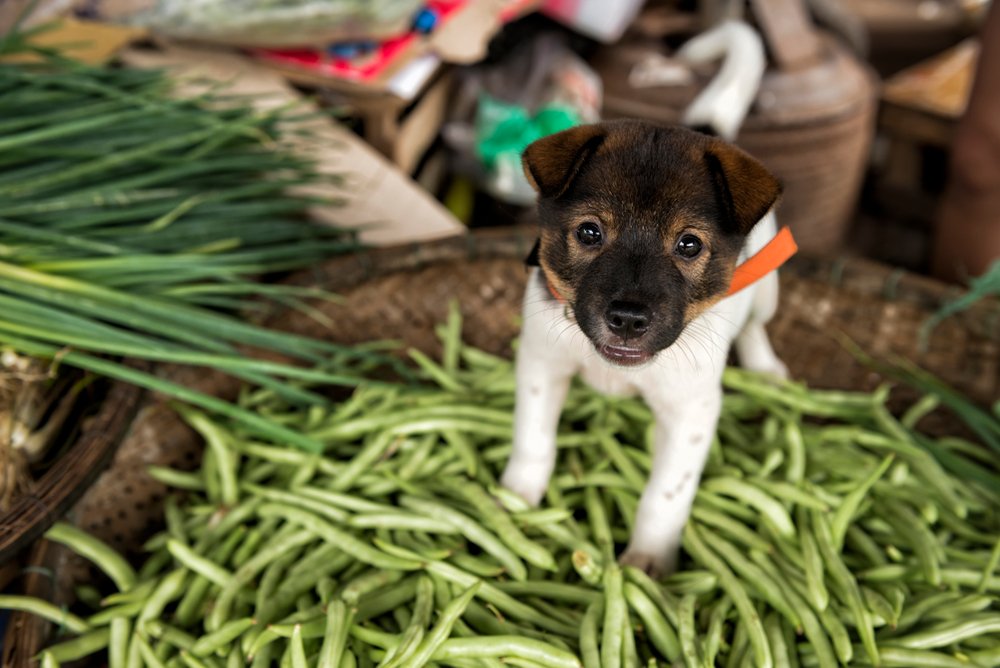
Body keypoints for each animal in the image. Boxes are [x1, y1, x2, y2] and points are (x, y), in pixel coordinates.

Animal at [498, 117, 788, 576]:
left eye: (689, 244)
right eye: (589, 232)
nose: (629, 320)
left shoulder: (691, 411)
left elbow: (665, 495)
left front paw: (649, 557)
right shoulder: (541, 363)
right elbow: (533, 440)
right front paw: (516, 499)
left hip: (767, 291)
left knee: (756, 326)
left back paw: (765, 369)